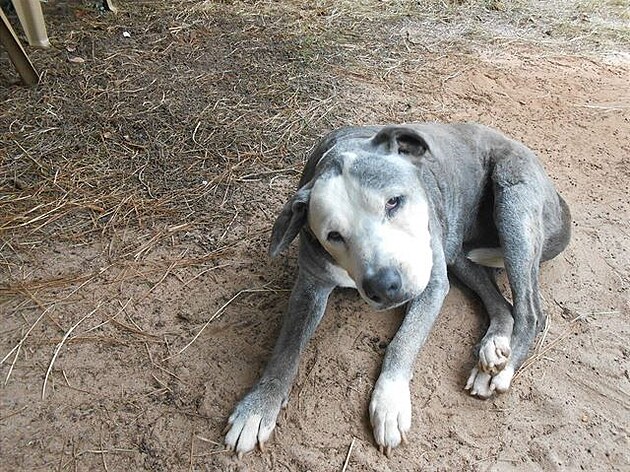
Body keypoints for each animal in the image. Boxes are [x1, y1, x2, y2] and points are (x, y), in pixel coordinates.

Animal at [221, 121, 572, 458]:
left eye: (393, 202)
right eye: (334, 235)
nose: (385, 286)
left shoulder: (432, 284)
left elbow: (403, 342)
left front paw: (390, 403)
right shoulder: (310, 286)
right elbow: (287, 349)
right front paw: (257, 408)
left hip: (513, 210)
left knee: (530, 311)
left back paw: (501, 371)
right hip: (457, 250)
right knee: (502, 304)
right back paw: (494, 345)